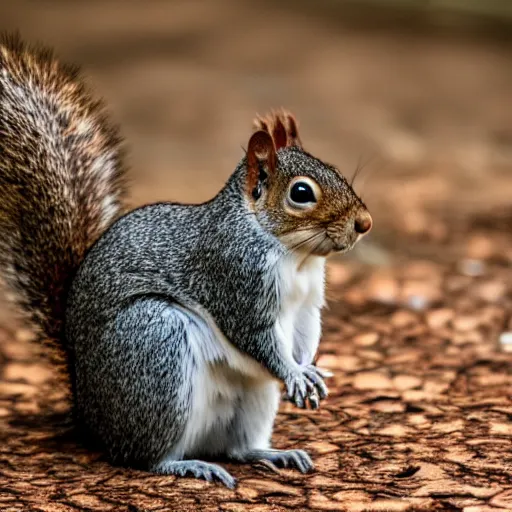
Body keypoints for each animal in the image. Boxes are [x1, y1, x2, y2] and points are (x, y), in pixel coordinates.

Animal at [0, 35, 372, 488]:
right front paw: (295, 373)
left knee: (237, 447)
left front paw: (308, 369)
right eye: (301, 193)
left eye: (335, 169)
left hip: (251, 396)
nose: (364, 223)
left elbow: (305, 333)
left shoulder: (306, 303)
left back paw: (272, 453)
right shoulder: (234, 278)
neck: (294, 255)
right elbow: (257, 337)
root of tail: (90, 415)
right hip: (155, 344)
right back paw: (186, 464)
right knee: (142, 456)